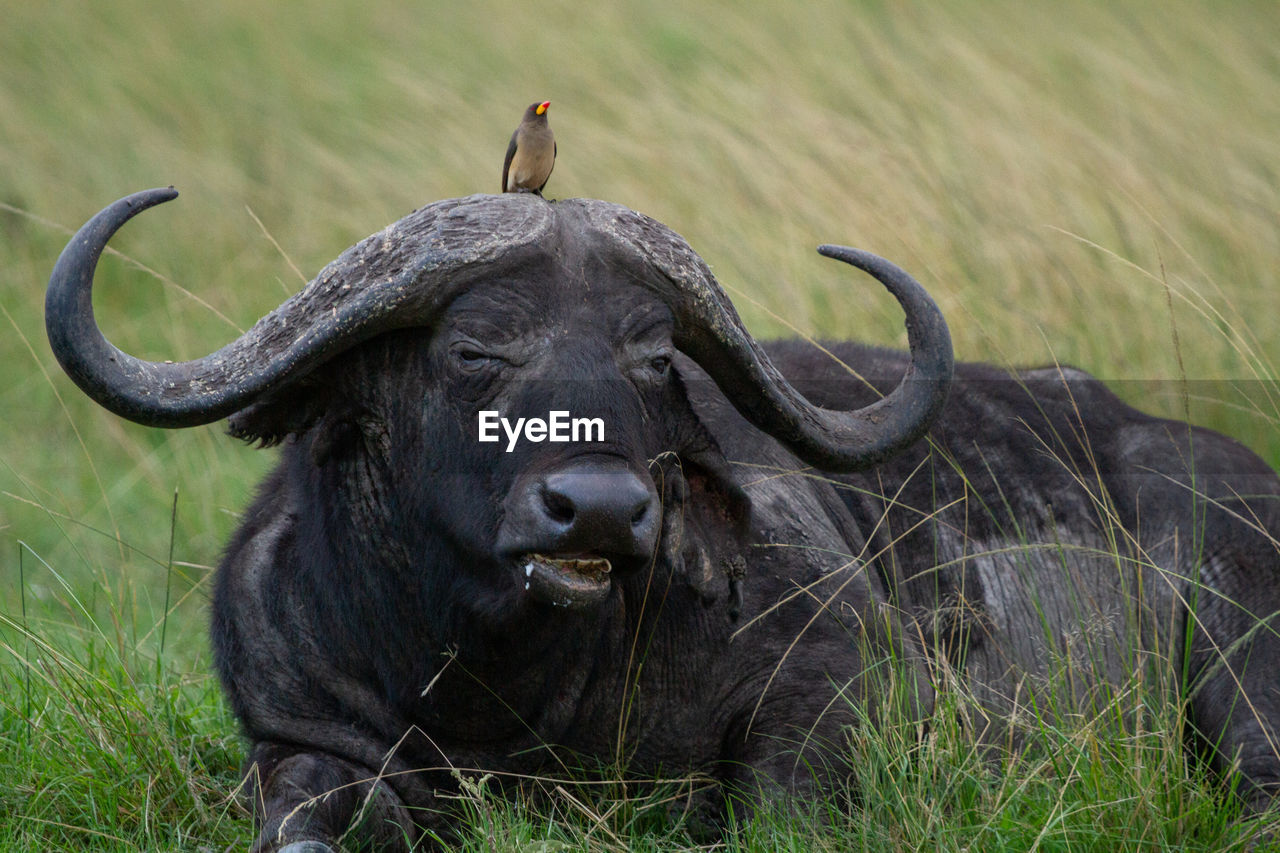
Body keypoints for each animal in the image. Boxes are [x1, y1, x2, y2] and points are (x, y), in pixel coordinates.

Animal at [45, 189, 1274, 845]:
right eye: (475, 350)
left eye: (648, 357)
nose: (595, 507)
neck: (505, 688)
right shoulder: (299, 735)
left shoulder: (841, 692)